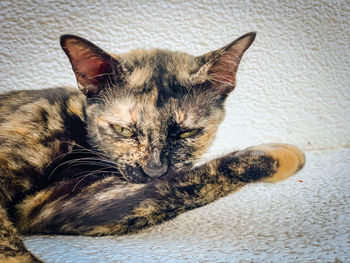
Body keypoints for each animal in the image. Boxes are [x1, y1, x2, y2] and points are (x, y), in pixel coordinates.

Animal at [0, 32, 304, 262]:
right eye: (123, 130)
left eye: (187, 132)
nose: (155, 170)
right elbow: (7, 244)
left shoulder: (53, 205)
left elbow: (177, 189)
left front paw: (274, 156)